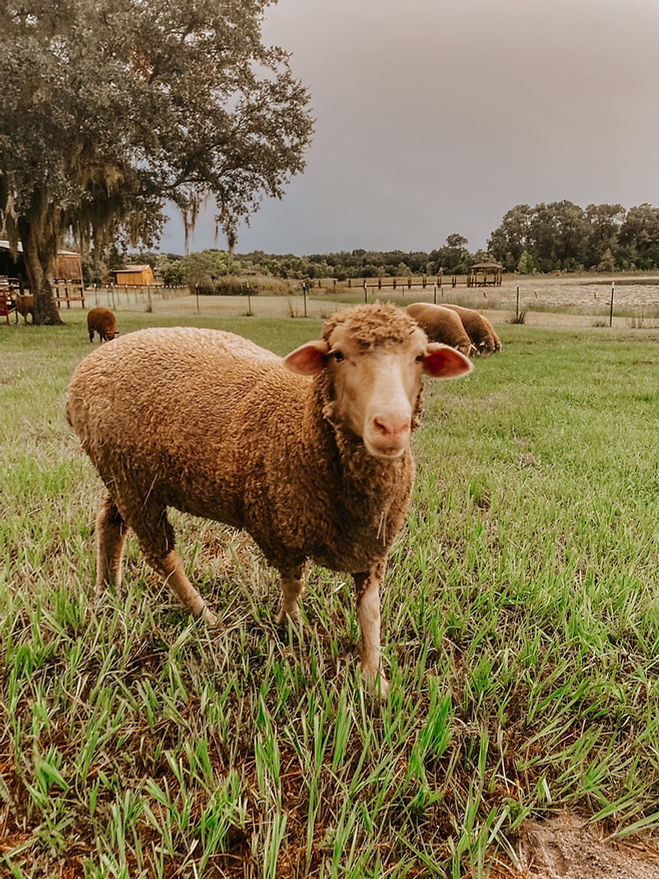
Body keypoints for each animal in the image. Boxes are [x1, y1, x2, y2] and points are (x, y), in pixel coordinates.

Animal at [66, 303, 473, 696]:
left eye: (419, 356)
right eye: (338, 355)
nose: (391, 426)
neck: (302, 428)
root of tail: (88, 367)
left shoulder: (372, 544)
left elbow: (370, 611)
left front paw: (374, 678)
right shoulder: (278, 530)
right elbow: (293, 584)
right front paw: (289, 625)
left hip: (122, 474)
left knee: (109, 525)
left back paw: (107, 589)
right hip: (135, 486)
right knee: (161, 556)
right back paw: (204, 616)